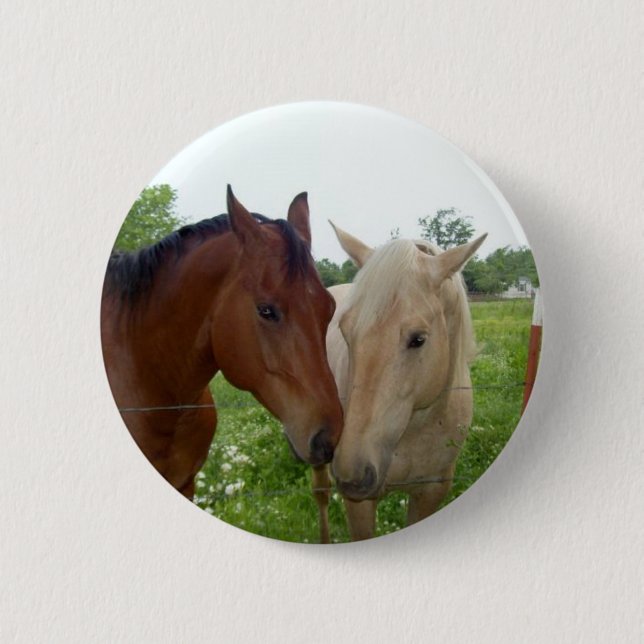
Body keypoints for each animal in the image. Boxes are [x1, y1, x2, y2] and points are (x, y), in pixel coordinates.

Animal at [312, 223, 486, 541]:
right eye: (346, 331)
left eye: (418, 339)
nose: (352, 473)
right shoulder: (360, 505)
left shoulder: (431, 492)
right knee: (320, 493)